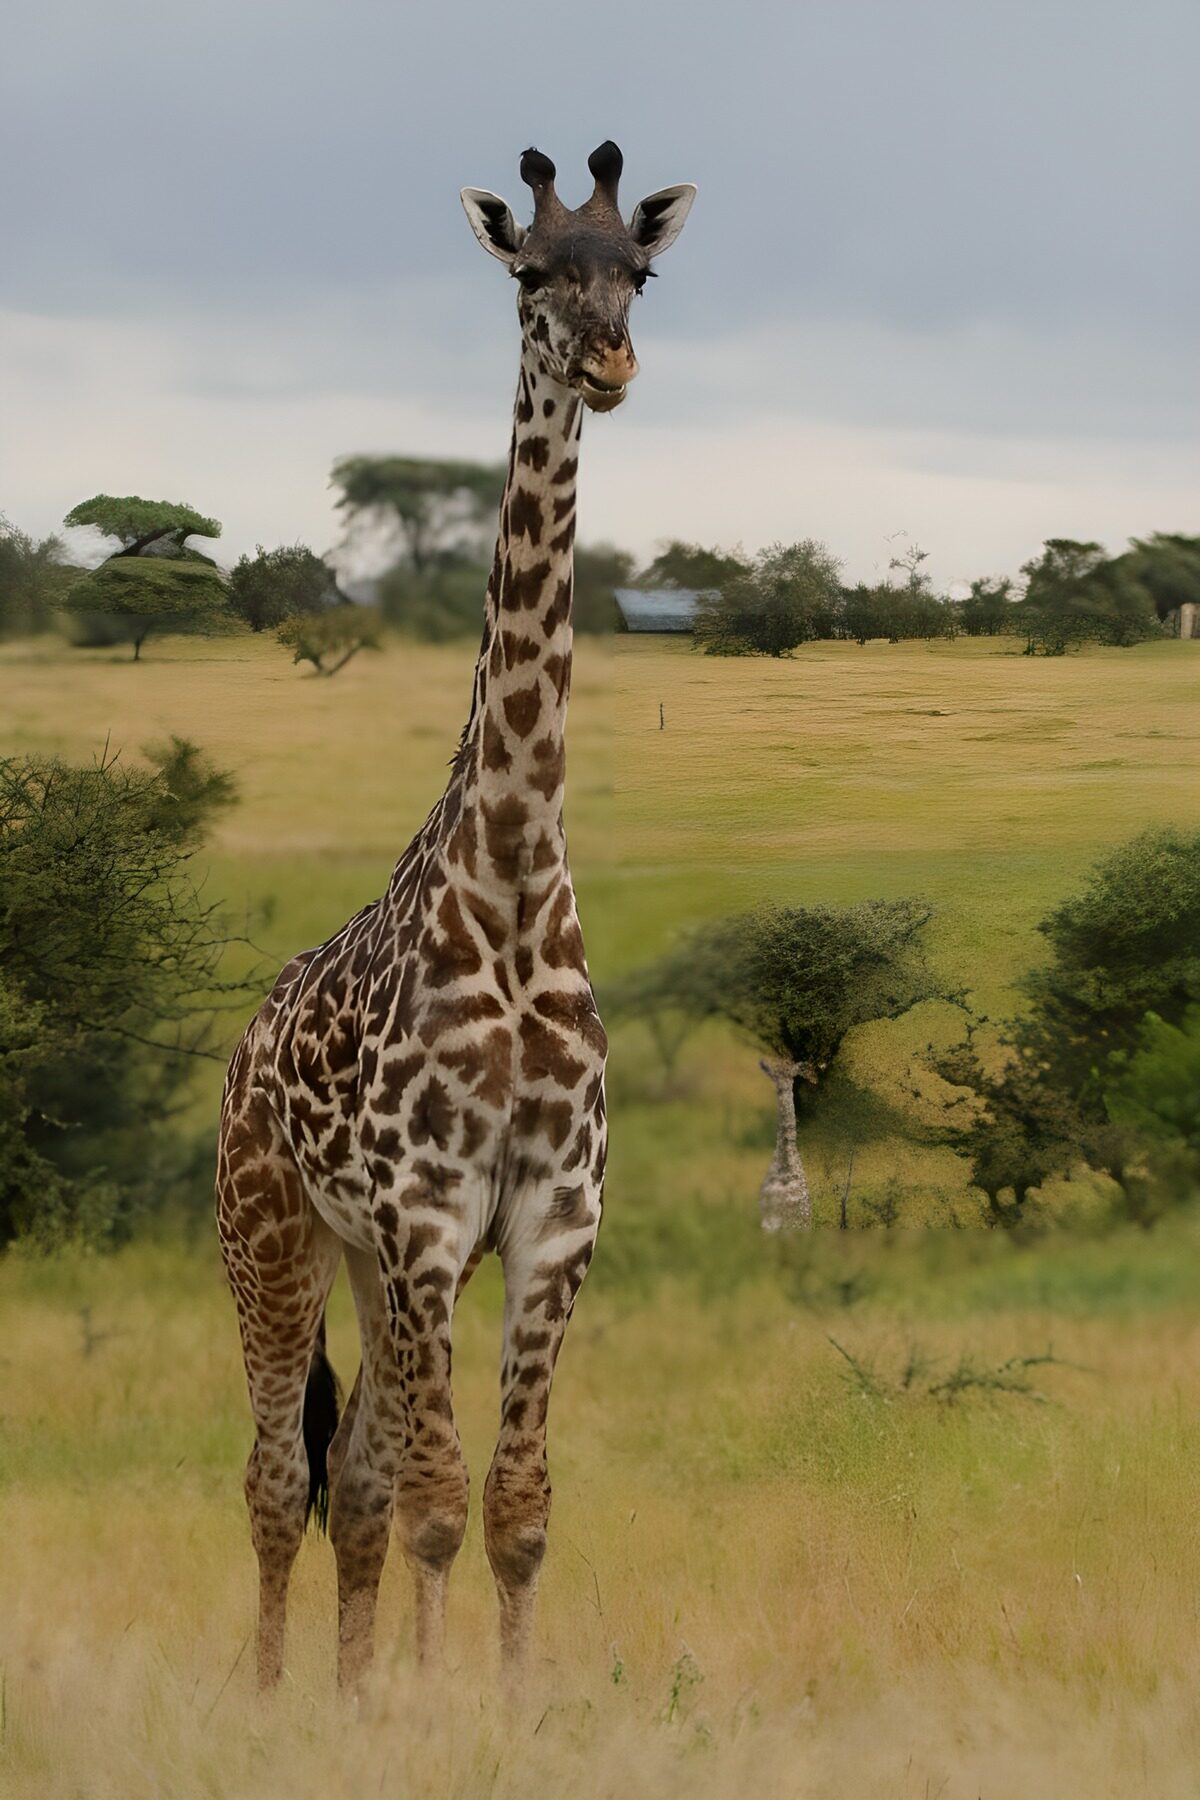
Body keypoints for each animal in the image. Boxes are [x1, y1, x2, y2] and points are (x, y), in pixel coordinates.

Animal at [216, 141, 695, 1693]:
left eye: (639, 270)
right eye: (534, 271)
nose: (610, 358)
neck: (515, 879)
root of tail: (245, 1043)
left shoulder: (553, 1218)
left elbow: (512, 1508)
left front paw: (497, 1703)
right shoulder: (427, 1216)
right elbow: (435, 1502)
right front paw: (439, 1708)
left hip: (365, 1265)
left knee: (353, 1480)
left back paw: (351, 1697)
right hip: (271, 1231)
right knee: (277, 1478)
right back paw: (271, 1701)